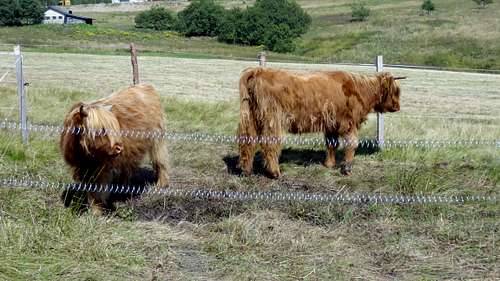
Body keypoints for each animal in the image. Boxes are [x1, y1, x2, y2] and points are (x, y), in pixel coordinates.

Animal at [60, 83, 170, 214]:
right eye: (99, 130)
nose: (119, 147)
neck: (85, 156)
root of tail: (144, 85)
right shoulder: (82, 167)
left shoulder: (101, 169)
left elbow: (97, 190)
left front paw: (96, 212)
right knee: (129, 166)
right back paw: (123, 189)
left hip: (157, 137)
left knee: (160, 159)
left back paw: (161, 184)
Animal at [236, 66, 404, 176]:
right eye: (396, 91)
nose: (397, 107)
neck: (360, 89)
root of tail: (258, 71)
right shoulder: (349, 123)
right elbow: (352, 143)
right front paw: (347, 168)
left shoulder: (331, 125)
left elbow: (331, 144)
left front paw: (329, 164)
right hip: (273, 119)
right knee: (269, 144)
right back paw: (275, 172)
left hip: (250, 117)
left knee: (247, 142)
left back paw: (247, 171)